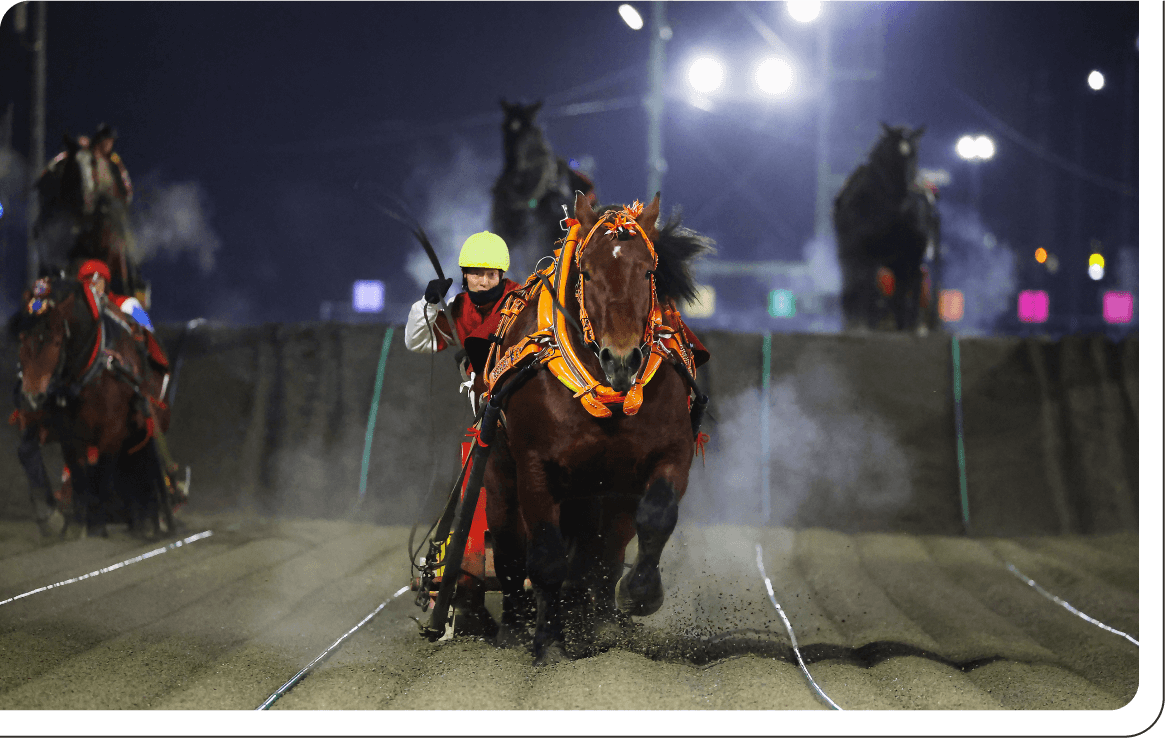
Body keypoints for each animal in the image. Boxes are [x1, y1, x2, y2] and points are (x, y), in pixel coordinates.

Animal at [8, 275, 171, 537]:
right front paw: (66, 520)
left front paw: (97, 525)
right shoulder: (65, 429)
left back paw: (148, 519)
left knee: (142, 462)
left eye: (56, 342)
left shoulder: (113, 429)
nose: (32, 398)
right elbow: (75, 472)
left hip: (146, 421)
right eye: (22, 339)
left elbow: (102, 471)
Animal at [476, 191, 713, 665]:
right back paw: (514, 626)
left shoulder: (669, 451)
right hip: (499, 470)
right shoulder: (536, 464)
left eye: (649, 270)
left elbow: (654, 517)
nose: (621, 360)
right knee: (509, 542)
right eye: (586, 271)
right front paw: (547, 641)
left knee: (605, 546)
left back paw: (595, 617)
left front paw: (638, 595)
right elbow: (545, 554)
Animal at [833, 123, 941, 333]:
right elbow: (866, 288)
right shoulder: (863, 253)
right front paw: (865, 324)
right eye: (891, 152)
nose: (907, 190)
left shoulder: (907, 255)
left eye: (914, 153)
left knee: (908, 285)